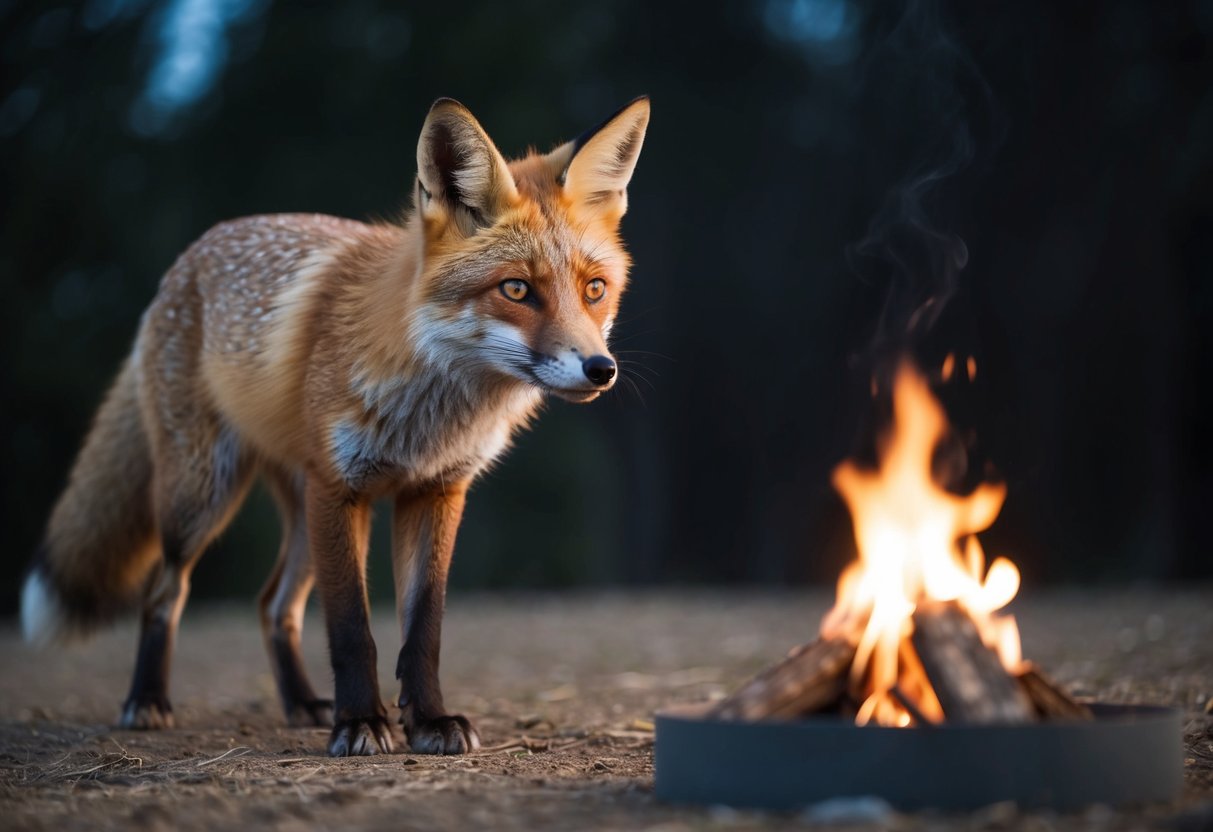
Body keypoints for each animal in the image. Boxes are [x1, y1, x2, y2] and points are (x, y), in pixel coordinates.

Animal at [20, 96, 650, 757]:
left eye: (595, 289)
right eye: (517, 289)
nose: (600, 369)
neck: (429, 413)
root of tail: (185, 262)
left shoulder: (436, 491)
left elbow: (423, 630)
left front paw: (429, 721)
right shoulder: (342, 489)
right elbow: (352, 629)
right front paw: (362, 723)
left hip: (299, 514)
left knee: (273, 605)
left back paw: (301, 703)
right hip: (202, 497)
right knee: (165, 592)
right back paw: (147, 700)